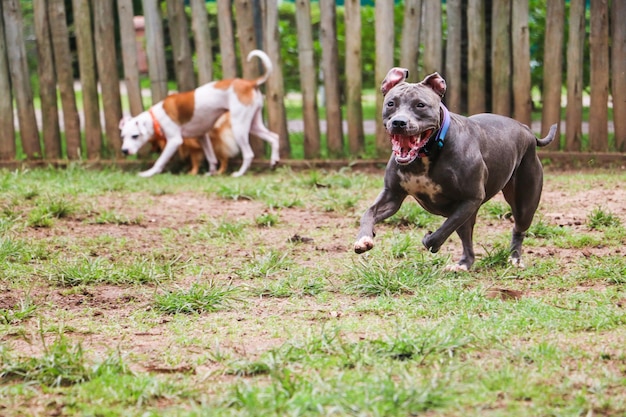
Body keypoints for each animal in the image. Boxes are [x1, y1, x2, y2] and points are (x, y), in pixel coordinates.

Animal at [119, 49, 278, 176]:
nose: (124, 151)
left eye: (135, 136)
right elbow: (211, 158)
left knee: (249, 154)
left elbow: (160, 161)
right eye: (123, 136)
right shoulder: (203, 136)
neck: (156, 117)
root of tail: (250, 83)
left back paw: (239, 174)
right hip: (253, 124)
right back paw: (274, 160)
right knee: (274, 137)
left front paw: (148, 173)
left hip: (239, 127)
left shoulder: (175, 141)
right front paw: (211, 173)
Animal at [354, 68, 552, 270]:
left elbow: (443, 230)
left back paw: (515, 257)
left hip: (524, 202)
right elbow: (368, 213)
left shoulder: (470, 199)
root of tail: (527, 130)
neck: (426, 154)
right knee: (468, 242)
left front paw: (428, 240)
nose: (399, 122)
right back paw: (464, 264)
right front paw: (364, 238)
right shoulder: (392, 195)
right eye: (391, 104)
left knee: (518, 228)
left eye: (420, 105)